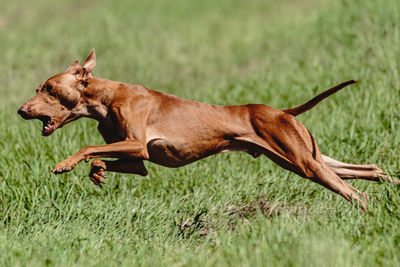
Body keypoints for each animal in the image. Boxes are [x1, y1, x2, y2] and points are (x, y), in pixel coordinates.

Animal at [18, 49, 390, 210]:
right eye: (38, 87)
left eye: (49, 88)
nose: (22, 110)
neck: (106, 97)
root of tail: (281, 111)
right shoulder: (138, 162)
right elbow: (101, 158)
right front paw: (97, 172)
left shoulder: (137, 144)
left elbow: (87, 149)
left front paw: (66, 164)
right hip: (309, 159)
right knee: (370, 171)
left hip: (303, 162)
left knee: (356, 193)